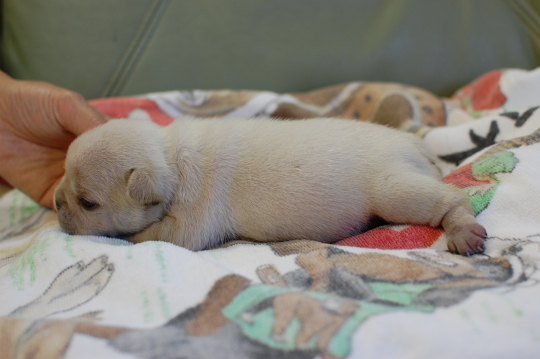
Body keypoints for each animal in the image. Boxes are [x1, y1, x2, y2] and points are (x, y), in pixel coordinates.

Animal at [53, 116, 486, 255]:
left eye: (87, 203)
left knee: (449, 198)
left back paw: (461, 228)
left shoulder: (191, 222)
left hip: (392, 190)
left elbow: (157, 235)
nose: (56, 201)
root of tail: (416, 144)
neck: (170, 156)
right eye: (63, 177)